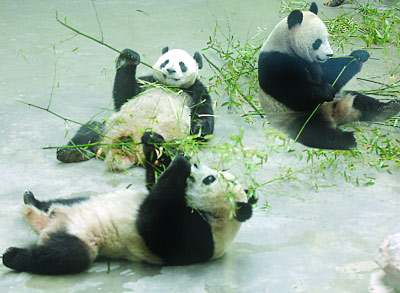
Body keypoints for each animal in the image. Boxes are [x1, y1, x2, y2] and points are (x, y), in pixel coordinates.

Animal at [2, 132, 253, 274]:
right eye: (215, 173)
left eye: (210, 179)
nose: (197, 165)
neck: (214, 215)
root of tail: (48, 227)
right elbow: (154, 183)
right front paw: (155, 141)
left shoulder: (202, 237)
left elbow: (152, 225)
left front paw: (181, 162)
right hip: (79, 202)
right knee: (59, 203)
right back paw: (31, 201)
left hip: (84, 239)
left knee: (63, 256)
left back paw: (13, 256)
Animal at [56, 46, 216, 170]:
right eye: (166, 61)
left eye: (182, 64)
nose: (170, 70)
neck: (170, 87)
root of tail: (128, 150)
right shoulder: (147, 83)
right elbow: (124, 96)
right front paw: (128, 57)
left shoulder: (197, 91)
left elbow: (205, 118)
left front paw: (198, 126)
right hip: (104, 133)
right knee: (89, 130)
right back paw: (70, 153)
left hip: (174, 142)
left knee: (174, 156)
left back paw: (154, 140)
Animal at [258, 1, 398, 148]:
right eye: (317, 42)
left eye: (327, 38)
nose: (329, 54)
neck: (286, 45)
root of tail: (332, 115)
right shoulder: (276, 63)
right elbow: (294, 93)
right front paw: (326, 90)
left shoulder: (316, 64)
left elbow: (332, 73)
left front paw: (358, 56)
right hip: (298, 117)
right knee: (318, 133)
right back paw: (348, 139)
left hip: (341, 97)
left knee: (362, 101)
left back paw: (389, 108)